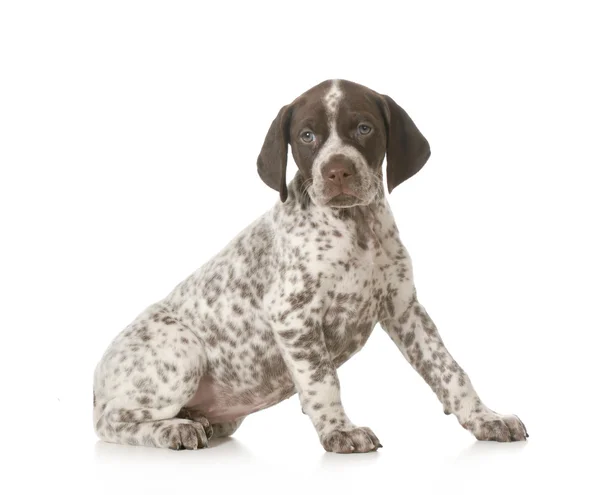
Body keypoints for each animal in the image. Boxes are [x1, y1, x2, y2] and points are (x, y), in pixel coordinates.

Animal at [91, 78, 528, 454]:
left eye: (364, 128)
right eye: (306, 136)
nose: (337, 171)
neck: (357, 228)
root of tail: (96, 382)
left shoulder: (404, 308)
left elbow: (449, 370)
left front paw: (485, 418)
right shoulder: (294, 316)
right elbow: (323, 381)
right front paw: (340, 431)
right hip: (182, 352)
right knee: (110, 423)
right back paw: (172, 429)